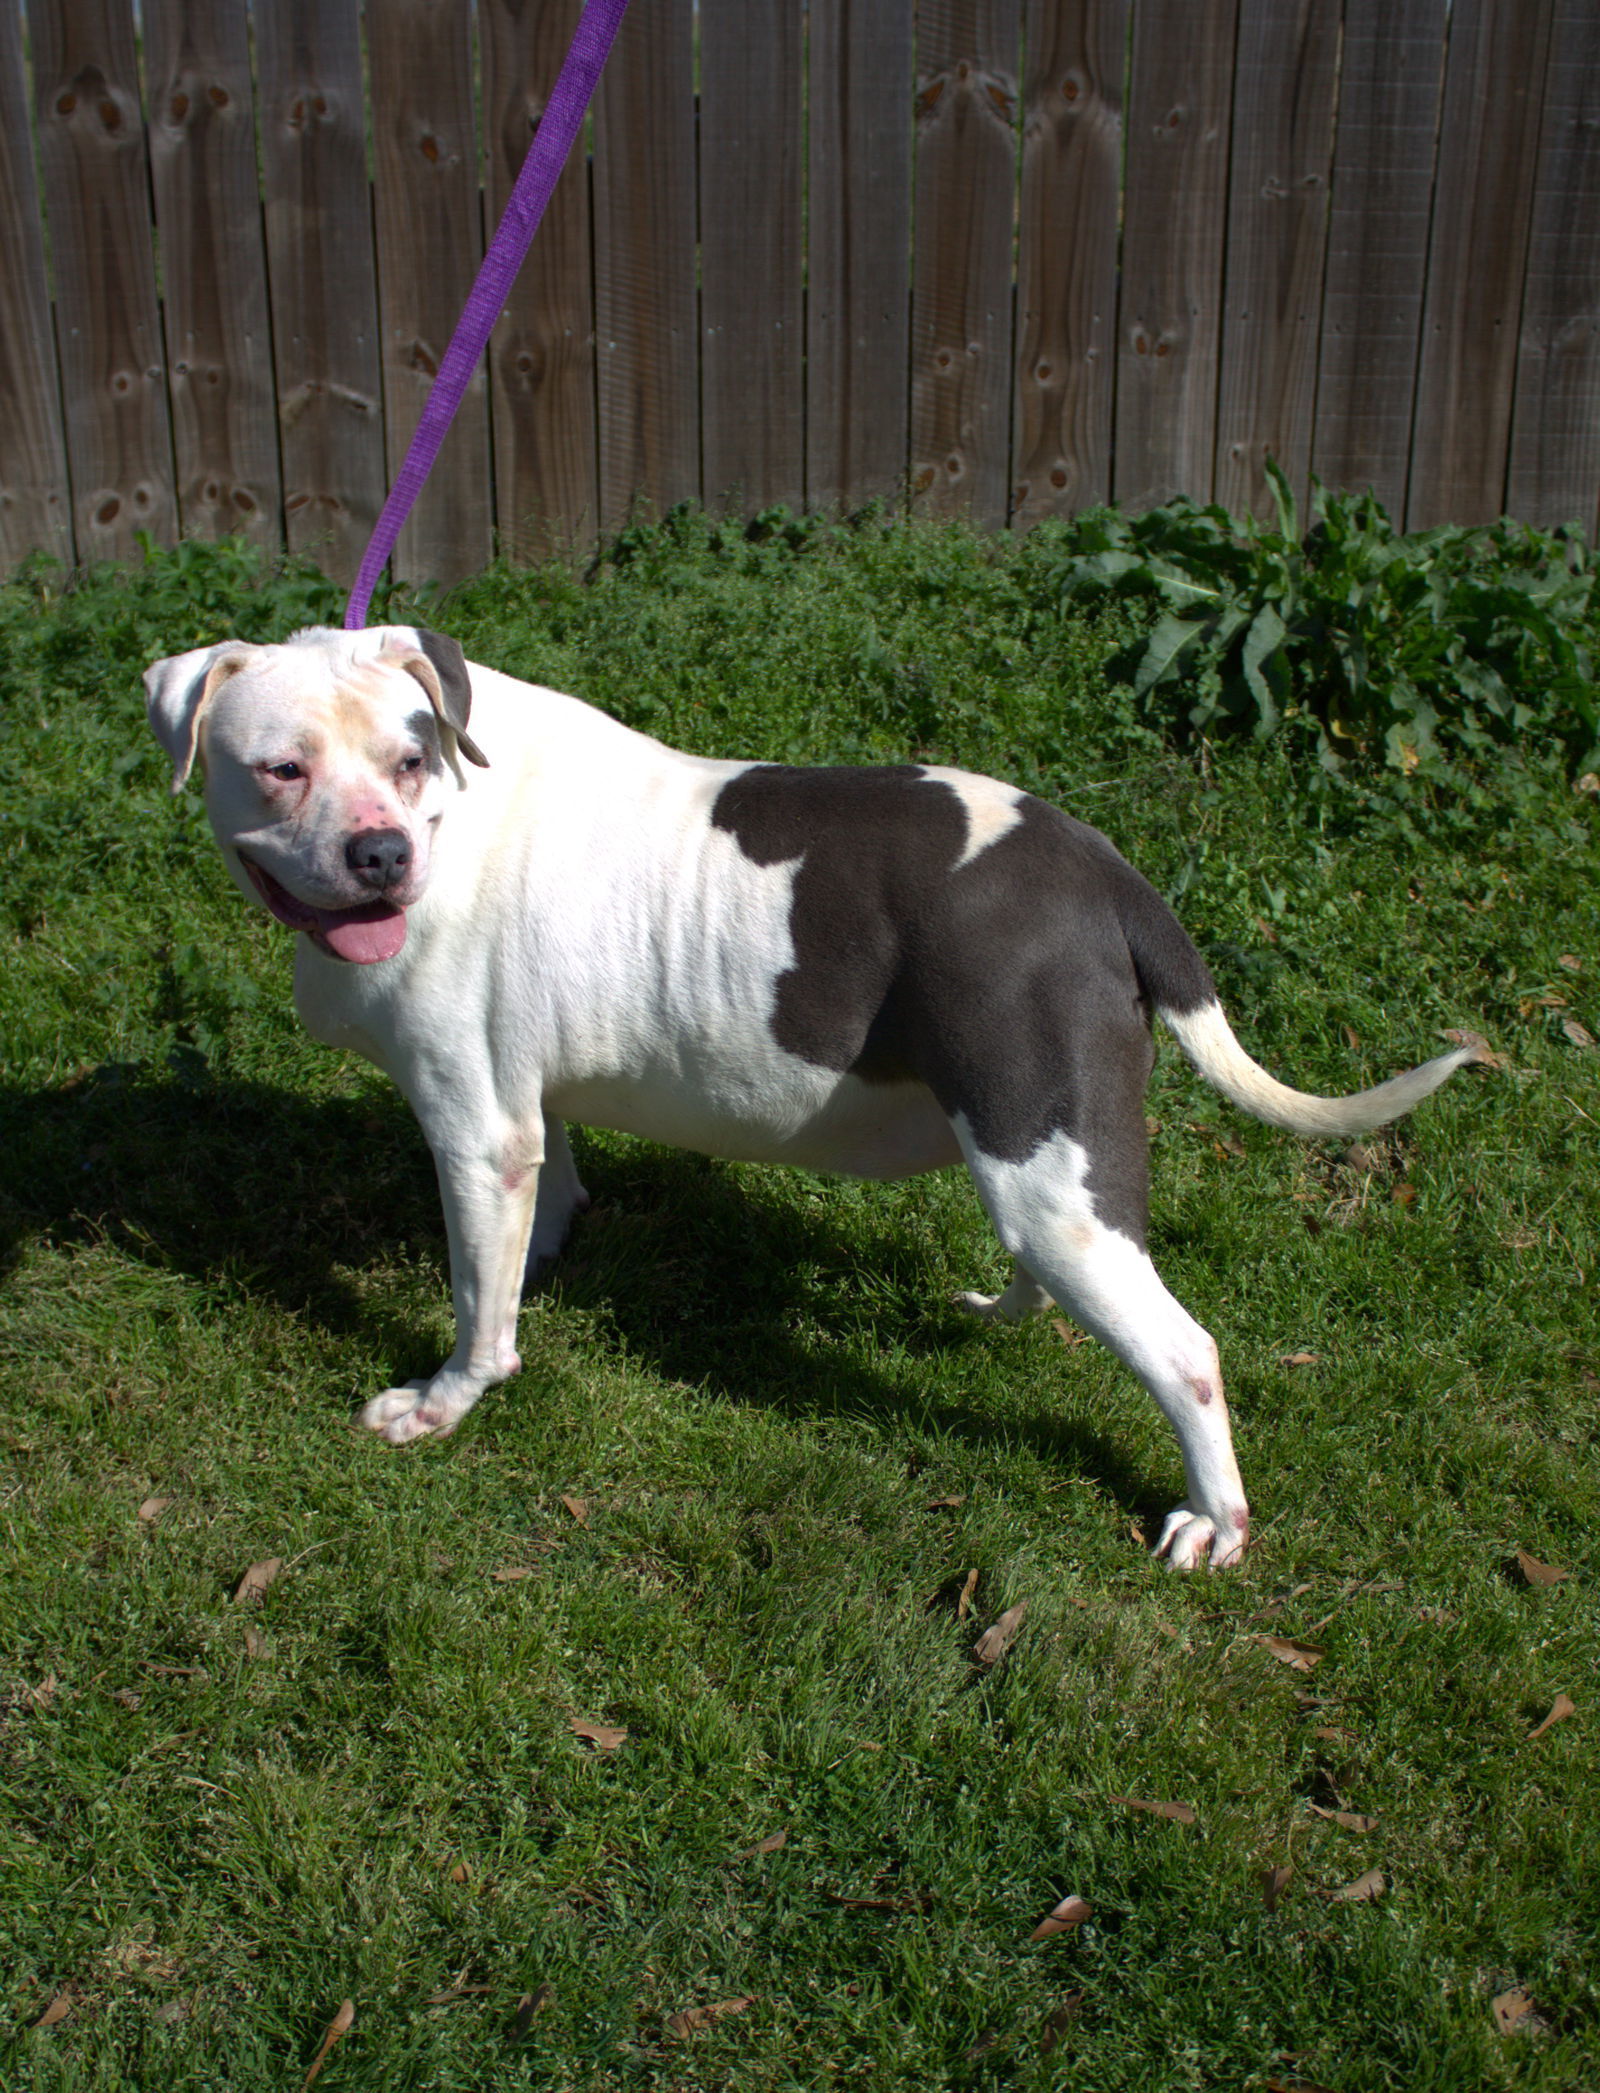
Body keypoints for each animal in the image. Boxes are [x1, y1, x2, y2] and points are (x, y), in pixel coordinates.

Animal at [143, 623, 1482, 1573]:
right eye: (280, 769)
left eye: (408, 759)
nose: (380, 855)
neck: (453, 813)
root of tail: (1102, 869)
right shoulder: (524, 1109)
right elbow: (539, 1209)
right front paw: (550, 1253)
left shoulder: (473, 1131)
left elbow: (480, 1310)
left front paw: (442, 1402)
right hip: (1039, 1162)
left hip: (1044, 1158)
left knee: (1185, 1350)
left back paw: (1215, 1516)